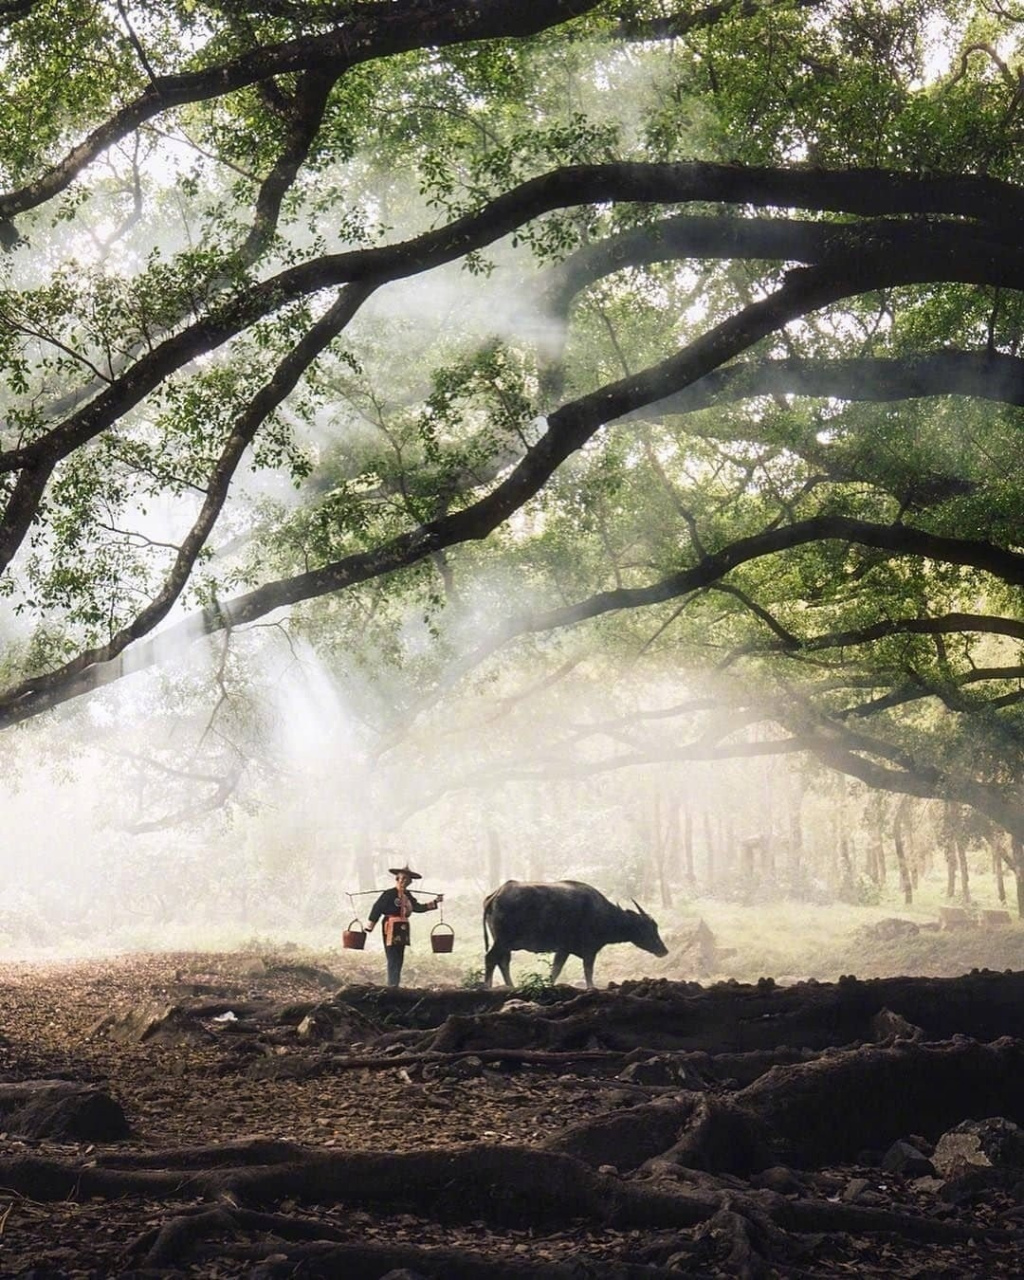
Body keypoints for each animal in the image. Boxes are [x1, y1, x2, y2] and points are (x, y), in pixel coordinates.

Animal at [481, 880, 665, 988]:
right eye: (648, 927)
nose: (664, 950)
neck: (602, 913)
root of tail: (496, 894)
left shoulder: (563, 950)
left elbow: (555, 970)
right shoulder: (588, 949)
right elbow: (587, 970)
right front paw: (591, 987)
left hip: (504, 943)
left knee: (502, 961)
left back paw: (510, 986)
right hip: (503, 940)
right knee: (491, 958)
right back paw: (488, 986)